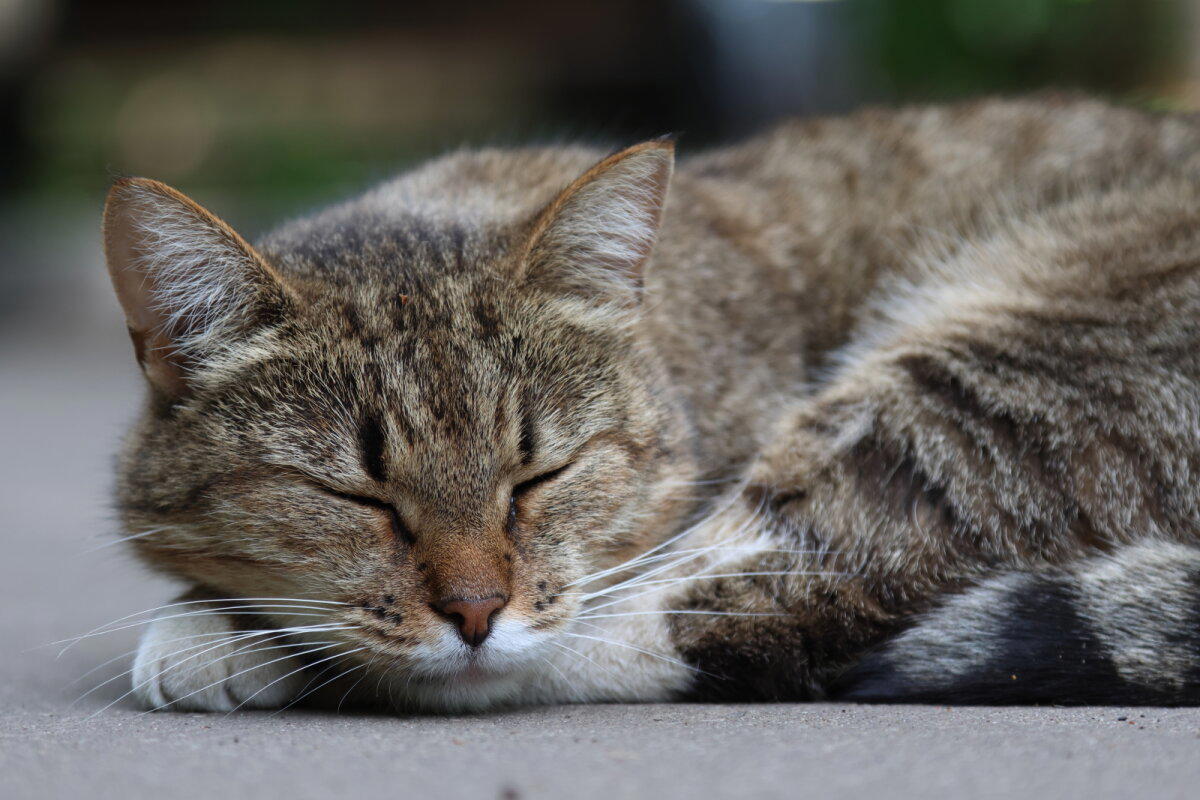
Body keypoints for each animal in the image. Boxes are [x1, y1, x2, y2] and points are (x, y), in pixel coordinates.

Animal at [98, 94, 1200, 714]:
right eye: (357, 499)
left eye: (540, 476)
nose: (474, 611)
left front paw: (220, 629)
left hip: (976, 384)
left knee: (746, 614)